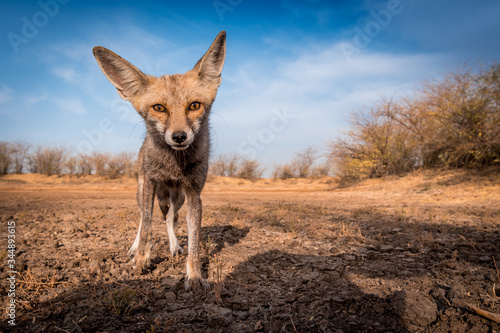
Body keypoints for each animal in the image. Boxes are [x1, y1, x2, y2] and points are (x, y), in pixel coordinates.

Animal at [92, 31, 227, 290]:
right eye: (159, 108)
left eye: (194, 106)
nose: (179, 136)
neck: (173, 166)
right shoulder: (150, 183)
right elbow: (146, 225)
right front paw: (141, 260)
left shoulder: (194, 194)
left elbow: (193, 242)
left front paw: (195, 275)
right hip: (142, 191)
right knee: (144, 218)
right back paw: (135, 249)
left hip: (178, 198)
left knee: (169, 219)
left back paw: (174, 246)